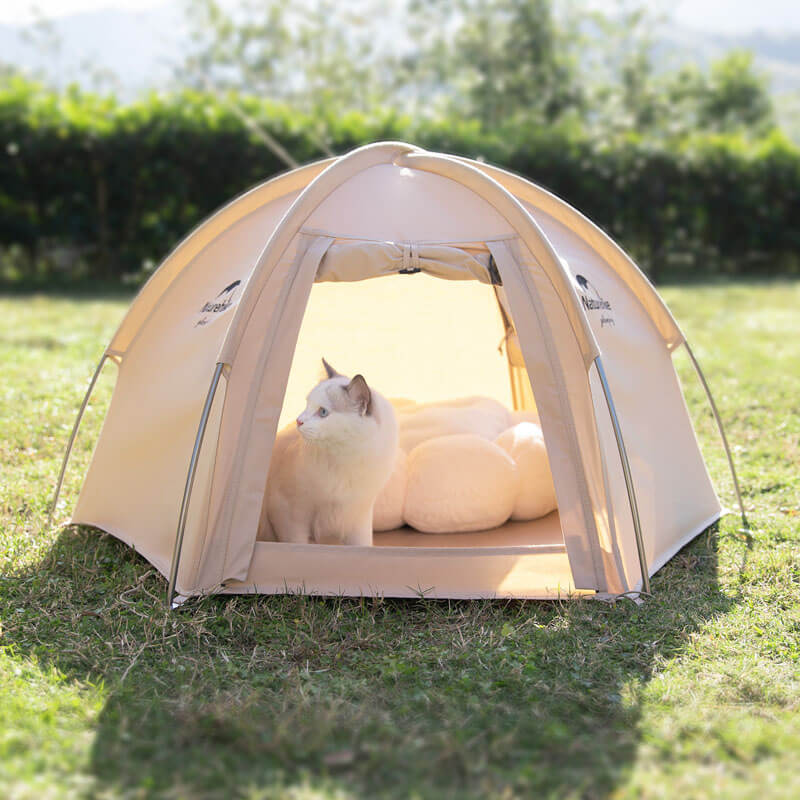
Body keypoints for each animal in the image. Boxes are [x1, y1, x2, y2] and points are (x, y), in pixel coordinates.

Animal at [258, 360, 398, 548]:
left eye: (323, 412)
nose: (298, 421)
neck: (343, 461)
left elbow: (363, 546)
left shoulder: (358, 519)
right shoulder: (290, 514)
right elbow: (297, 544)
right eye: (307, 405)